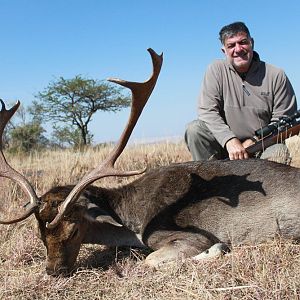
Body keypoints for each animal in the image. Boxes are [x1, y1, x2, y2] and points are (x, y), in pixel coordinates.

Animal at [0, 48, 300, 276]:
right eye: (40, 234)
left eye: (73, 231)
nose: (53, 271)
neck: (134, 222)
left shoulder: (190, 235)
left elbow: (149, 260)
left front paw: (217, 249)